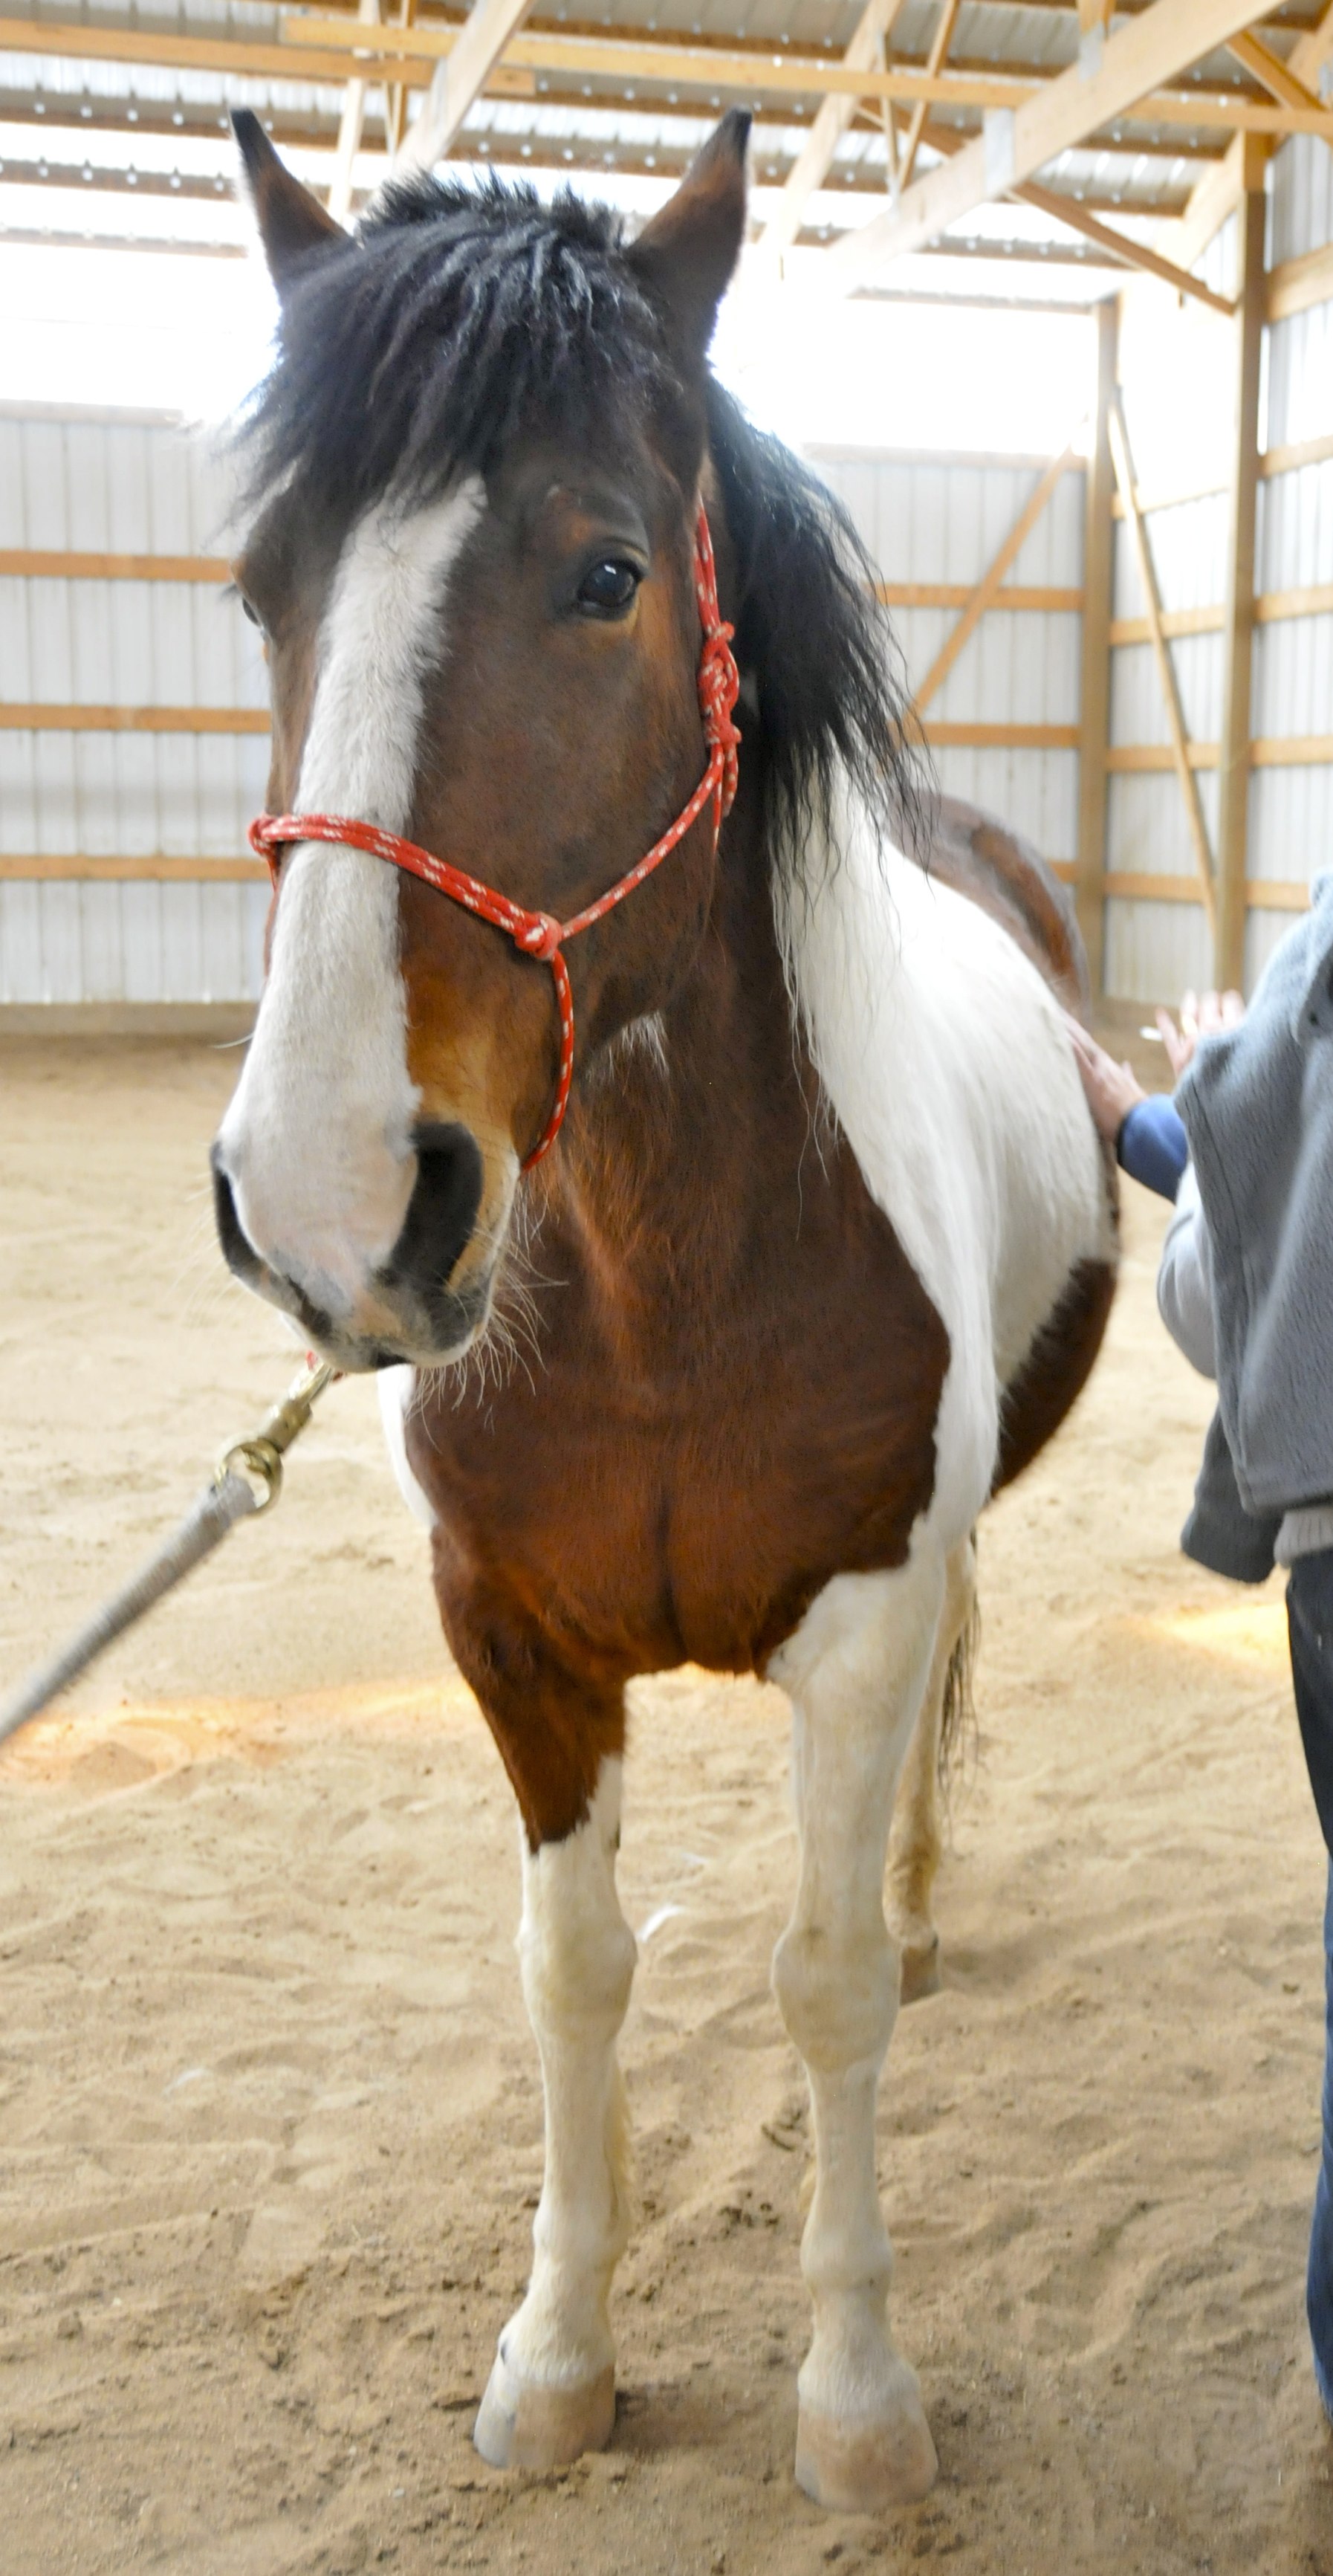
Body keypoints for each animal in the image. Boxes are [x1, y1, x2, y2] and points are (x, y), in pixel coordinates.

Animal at [217, 115, 1117, 2514]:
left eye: (607, 571)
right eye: (262, 587)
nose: (330, 1198)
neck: (651, 1296)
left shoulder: (866, 1613)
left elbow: (820, 1984)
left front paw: (856, 2399)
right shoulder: (506, 1640)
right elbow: (574, 1973)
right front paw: (556, 2357)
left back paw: (921, 1895)